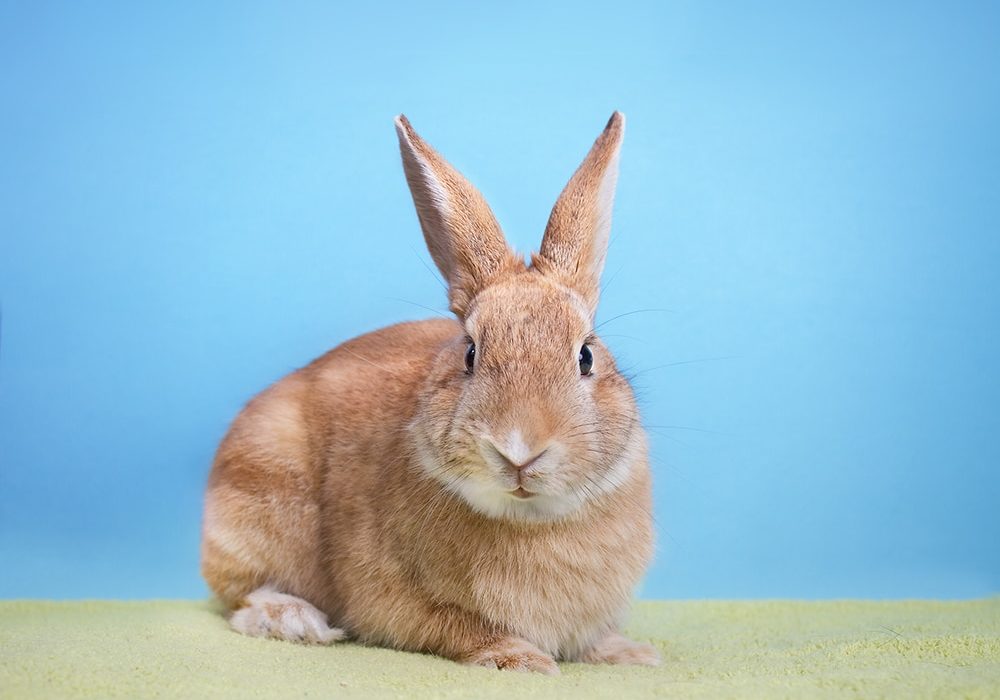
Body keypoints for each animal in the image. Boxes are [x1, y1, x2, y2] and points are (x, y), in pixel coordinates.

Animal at [200, 112, 658, 674]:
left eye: (586, 356)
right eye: (470, 353)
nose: (520, 450)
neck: (530, 518)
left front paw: (631, 653)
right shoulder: (402, 603)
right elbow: (462, 629)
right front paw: (521, 659)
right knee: (238, 599)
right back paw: (294, 621)